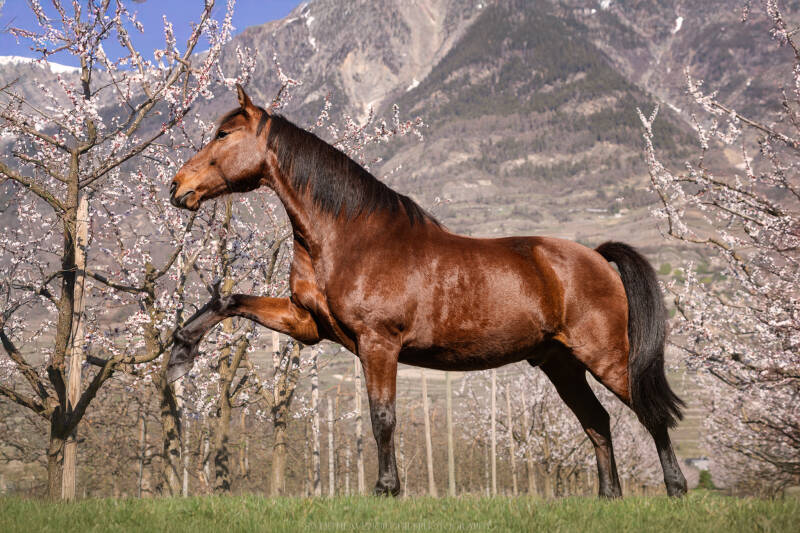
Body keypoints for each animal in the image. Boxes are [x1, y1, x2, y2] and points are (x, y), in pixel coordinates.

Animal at [167, 85, 687, 498]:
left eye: (223, 135)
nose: (177, 186)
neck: (351, 236)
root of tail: (596, 257)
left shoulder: (378, 342)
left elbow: (382, 416)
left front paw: (387, 488)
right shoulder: (307, 324)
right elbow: (229, 301)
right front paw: (179, 355)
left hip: (606, 356)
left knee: (648, 413)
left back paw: (676, 489)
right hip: (561, 362)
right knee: (597, 422)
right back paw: (609, 496)